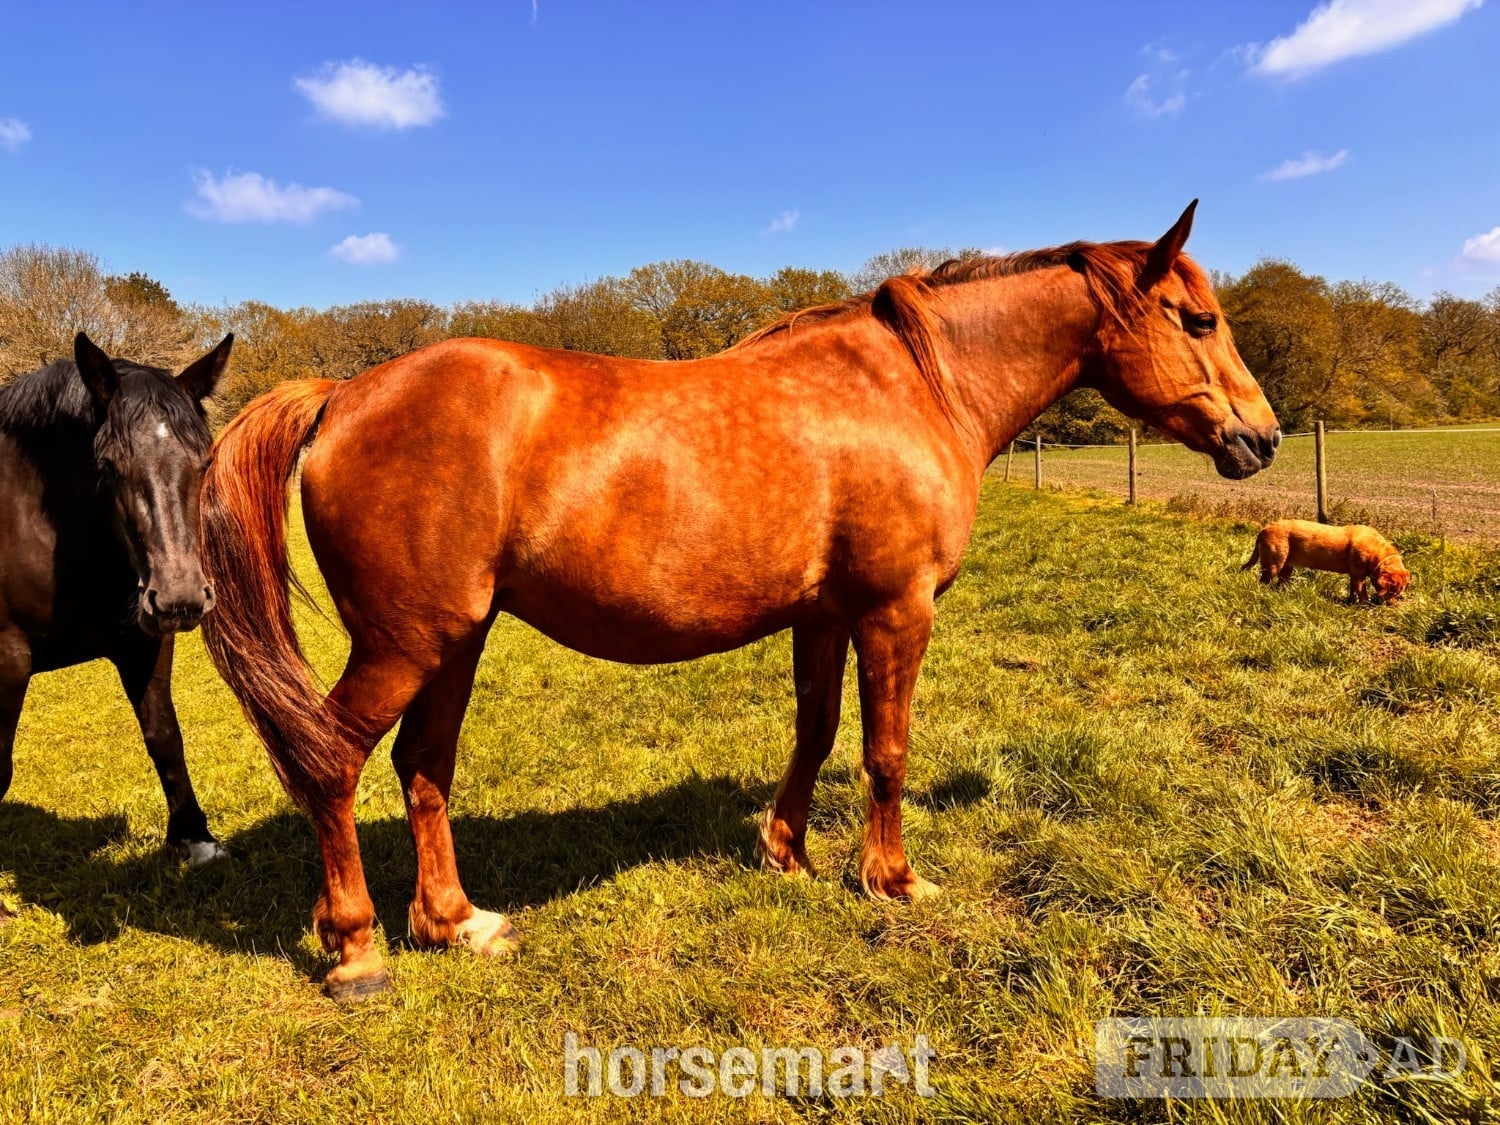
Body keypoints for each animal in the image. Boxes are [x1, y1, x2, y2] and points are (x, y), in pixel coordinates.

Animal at [0, 332, 233, 865]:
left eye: (204, 461)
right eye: (107, 466)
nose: (181, 598)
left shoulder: (143, 641)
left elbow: (164, 734)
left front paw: (195, 839)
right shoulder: (7, 660)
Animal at [201, 201, 1280, 999]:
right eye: (1198, 320)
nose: (1262, 438)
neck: (915, 387)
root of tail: (344, 394)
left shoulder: (826, 615)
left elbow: (816, 730)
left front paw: (786, 853)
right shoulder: (896, 610)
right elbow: (886, 750)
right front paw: (891, 878)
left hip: (454, 640)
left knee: (423, 767)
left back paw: (456, 922)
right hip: (402, 643)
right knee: (332, 763)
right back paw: (357, 951)